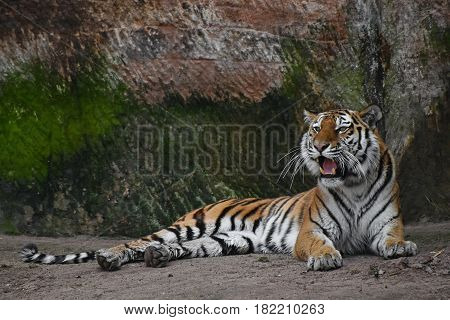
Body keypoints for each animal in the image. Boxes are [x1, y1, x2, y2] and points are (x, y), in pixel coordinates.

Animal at [19, 105, 416, 270]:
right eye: (317, 128)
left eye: (343, 128)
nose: (318, 146)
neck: (353, 184)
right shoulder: (312, 230)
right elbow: (319, 244)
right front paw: (325, 258)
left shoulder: (387, 224)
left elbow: (393, 238)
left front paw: (402, 248)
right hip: (189, 225)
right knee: (134, 243)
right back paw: (111, 257)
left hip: (228, 240)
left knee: (175, 249)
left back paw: (158, 258)